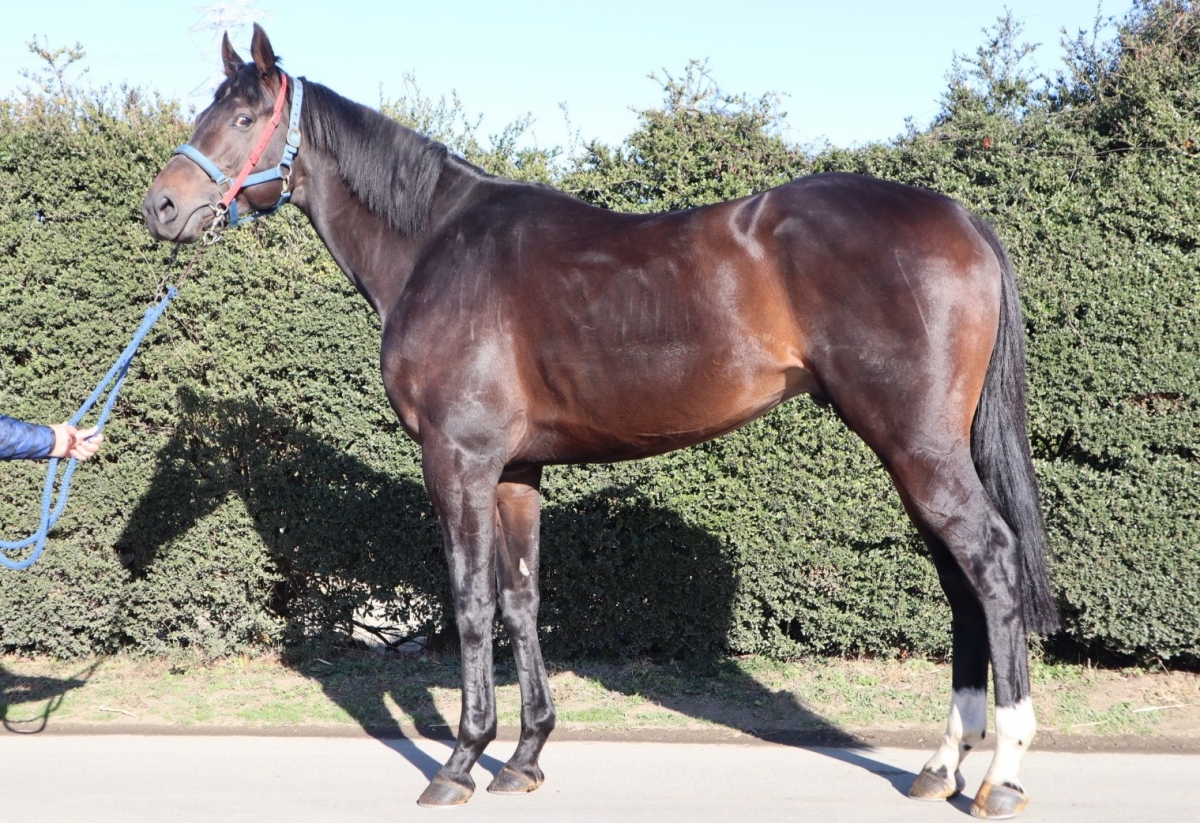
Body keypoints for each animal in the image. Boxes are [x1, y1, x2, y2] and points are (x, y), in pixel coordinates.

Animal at [143, 25, 1058, 818]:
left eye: (245, 116)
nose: (161, 206)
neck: (438, 243)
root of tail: (961, 219)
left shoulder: (457, 462)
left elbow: (471, 602)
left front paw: (459, 761)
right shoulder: (515, 473)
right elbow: (521, 599)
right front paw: (523, 756)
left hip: (917, 447)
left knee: (991, 561)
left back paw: (1003, 773)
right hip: (918, 453)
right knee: (961, 581)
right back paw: (940, 766)